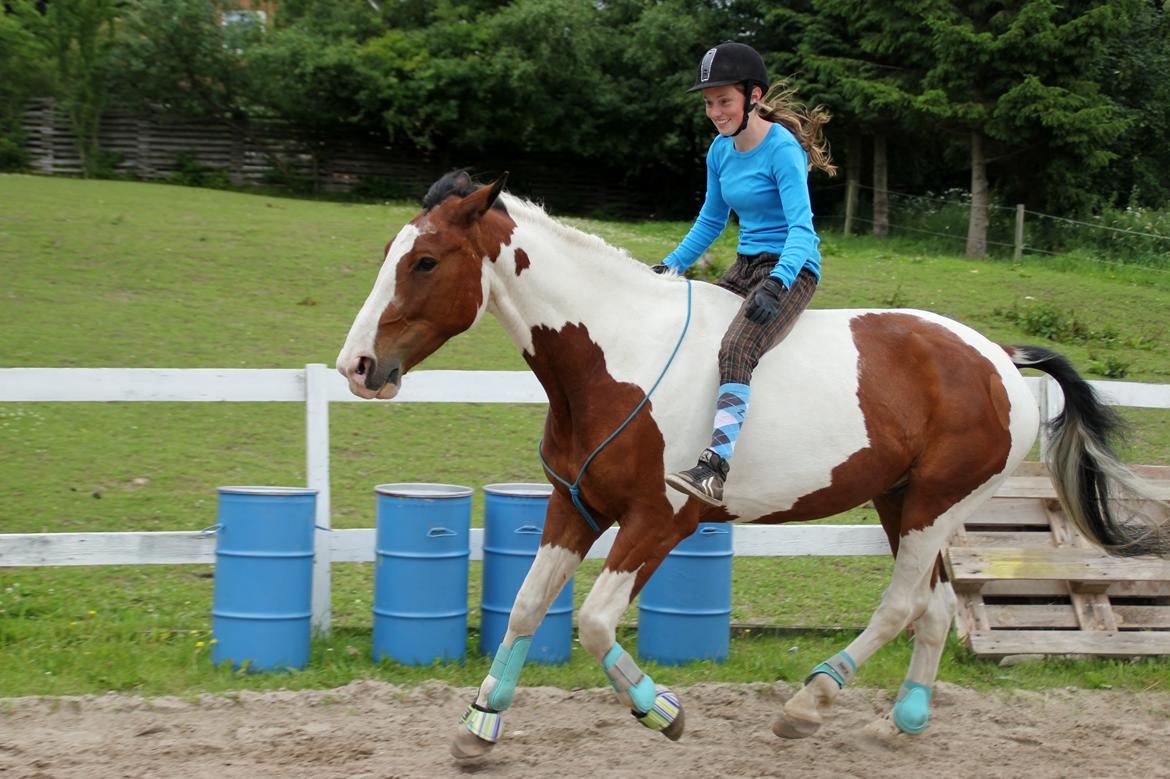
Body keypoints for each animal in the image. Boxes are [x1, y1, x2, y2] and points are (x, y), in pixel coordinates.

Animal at [334, 171, 1165, 757]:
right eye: (390, 256)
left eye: (425, 260)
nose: (357, 365)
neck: (613, 358)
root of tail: (999, 354)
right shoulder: (574, 506)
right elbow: (528, 608)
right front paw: (480, 723)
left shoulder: (659, 520)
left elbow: (596, 622)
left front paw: (662, 710)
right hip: (903, 504)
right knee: (931, 608)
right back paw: (902, 721)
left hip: (937, 504)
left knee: (900, 605)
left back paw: (809, 703)